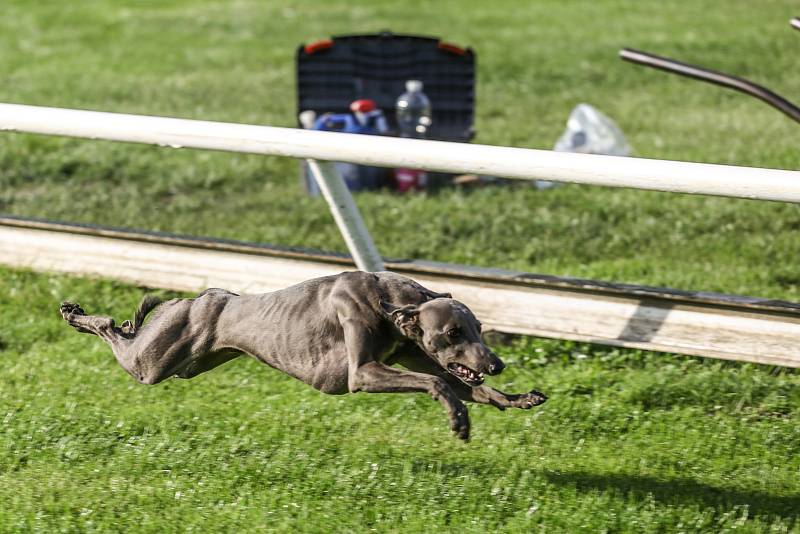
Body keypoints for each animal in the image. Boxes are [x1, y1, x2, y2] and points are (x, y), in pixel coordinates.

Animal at [61, 270, 544, 442]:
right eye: (452, 331)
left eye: (478, 327)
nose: (496, 364)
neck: (388, 301)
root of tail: (199, 296)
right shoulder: (362, 373)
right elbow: (440, 381)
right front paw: (458, 420)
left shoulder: (411, 354)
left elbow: (469, 387)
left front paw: (518, 398)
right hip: (150, 364)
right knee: (114, 329)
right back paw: (76, 313)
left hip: (186, 366)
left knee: (128, 330)